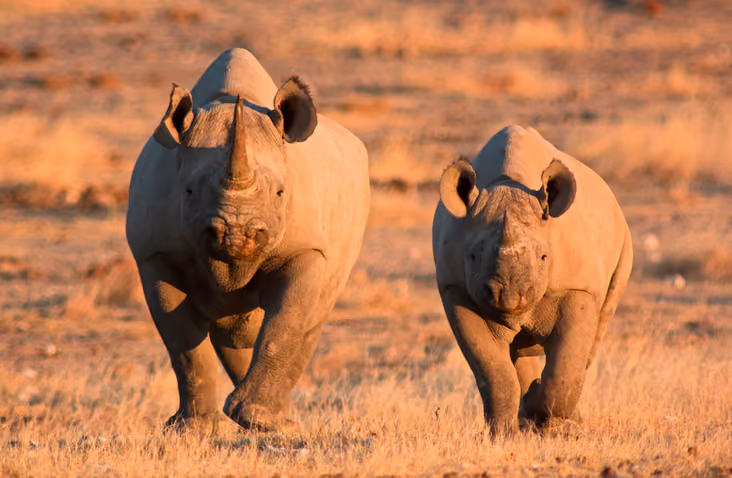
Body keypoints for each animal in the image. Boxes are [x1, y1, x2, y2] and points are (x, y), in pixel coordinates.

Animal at [126, 49, 370, 431]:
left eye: (281, 193)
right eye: (188, 191)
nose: (236, 234)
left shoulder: (306, 248)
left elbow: (285, 324)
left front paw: (257, 421)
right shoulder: (155, 253)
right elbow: (182, 342)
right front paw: (193, 428)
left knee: (309, 321)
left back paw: (276, 422)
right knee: (232, 330)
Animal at [432, 125, 632, 431]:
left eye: (544, 258)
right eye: (473, 257)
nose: (509, 296)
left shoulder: (577, 287)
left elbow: (565, 366)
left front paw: (546, 418)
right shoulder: (456, 290)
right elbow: (493, 371)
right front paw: (503, 433)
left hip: (623, 242)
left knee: (593, 335)